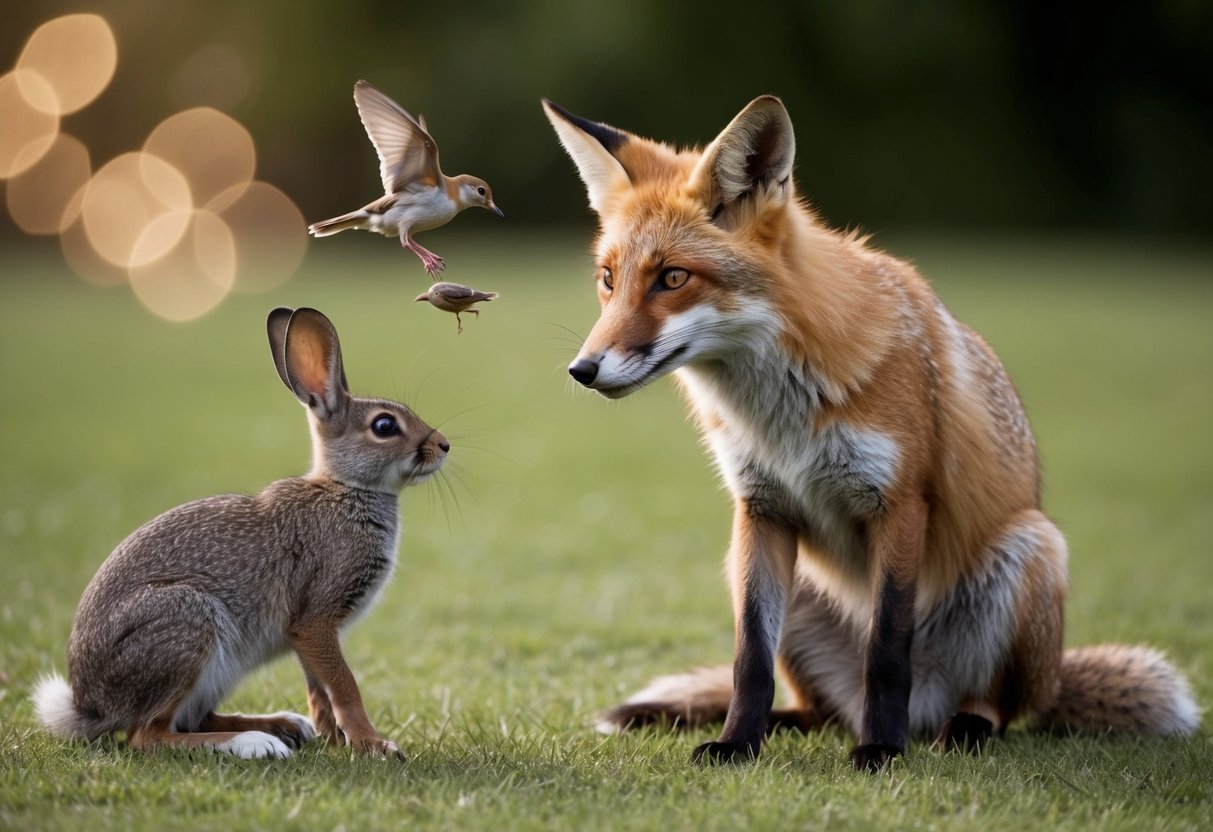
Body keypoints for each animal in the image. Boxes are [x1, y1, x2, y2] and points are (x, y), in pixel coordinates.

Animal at [32, 307, 449, 759]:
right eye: (385, 426)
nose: (443, 446)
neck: (347, 488)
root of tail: (90, 706)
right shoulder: (318, 616)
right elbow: (344, 685)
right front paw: (373, 744)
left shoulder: (305, 633)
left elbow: (318, 686)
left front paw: (334, 738)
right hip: (188, 625)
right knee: (149, 735)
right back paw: (256, 743)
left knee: (191, 719)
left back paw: (283, 726)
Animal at [542, 95, 1200, 771]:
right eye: (608, 280)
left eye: (672, 279)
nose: (582, 370)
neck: (783, 415)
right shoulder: (761, 510)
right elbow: (749, 661)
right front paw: (737, 744)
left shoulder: (900, 504)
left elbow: (885, 652)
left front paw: (881, 751)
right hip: (774, 581)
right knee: (815, 710)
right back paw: (786, 726)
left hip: (1031, 553)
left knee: (998, 705)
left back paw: (953, 729)